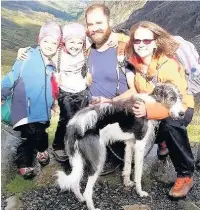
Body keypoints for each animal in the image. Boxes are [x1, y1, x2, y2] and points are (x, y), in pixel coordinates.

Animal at [55, 83, 184, 209]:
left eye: (180, 97)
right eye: (172, 98)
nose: (182, 114)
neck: (150, 104)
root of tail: (75, 125)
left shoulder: (130, 143)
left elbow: (127, 167)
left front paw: (127, 183)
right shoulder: (140, 145)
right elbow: (138, 173)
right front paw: (140, 192)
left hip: (78, 159)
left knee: (74, 182)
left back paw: (81, 199)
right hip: (98, 159)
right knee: (87, 191)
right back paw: (91, 205)